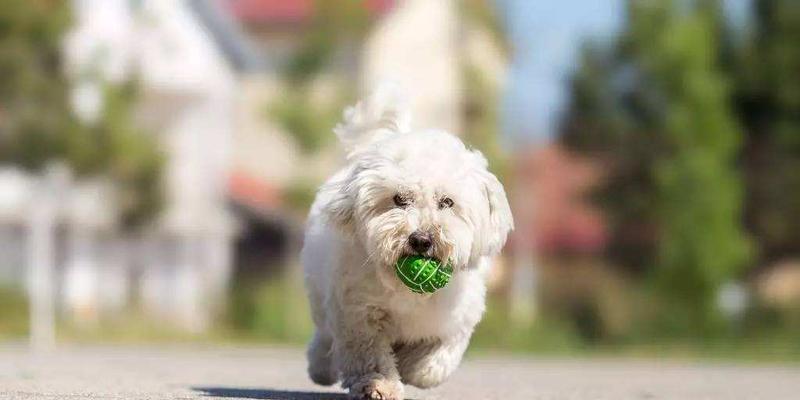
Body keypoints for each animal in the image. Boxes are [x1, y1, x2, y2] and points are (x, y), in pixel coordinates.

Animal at [300, 83, 512, 396]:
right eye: (399, 199)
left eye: (447, 202)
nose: (421, 239)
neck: (408, 293)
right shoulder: (358, 311)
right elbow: (369, 353)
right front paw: (379, 384)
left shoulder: (457, 318)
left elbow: (434, 363)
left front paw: (413, 367)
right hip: (321, 294)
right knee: (325, 335)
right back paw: (321, 368)